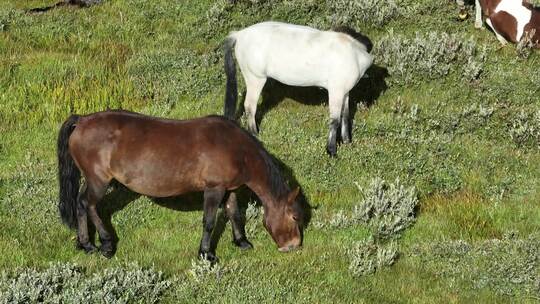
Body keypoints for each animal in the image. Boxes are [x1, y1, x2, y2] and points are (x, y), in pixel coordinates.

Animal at [59, 110, 306, 260]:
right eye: (295, 217)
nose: (294, 246)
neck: (236, 149)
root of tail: (82, 120)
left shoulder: (230, 189)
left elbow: (234, 213)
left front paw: (241, 242)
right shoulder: (214, 189)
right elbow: (209, 221)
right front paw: (206, 254)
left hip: (92, 180)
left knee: (80, 204)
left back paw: (86, 244)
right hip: (99, 181)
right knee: (89, 205)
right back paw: (106, 244)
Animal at [223, 20, 372, 157]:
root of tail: (239, 34)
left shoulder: (345, 92)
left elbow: (345, 115)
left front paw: (347, 142)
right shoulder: (336, 91)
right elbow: (335, 120)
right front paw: (331, 151)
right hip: (255, 78)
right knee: (250, 106)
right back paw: (254, 134)